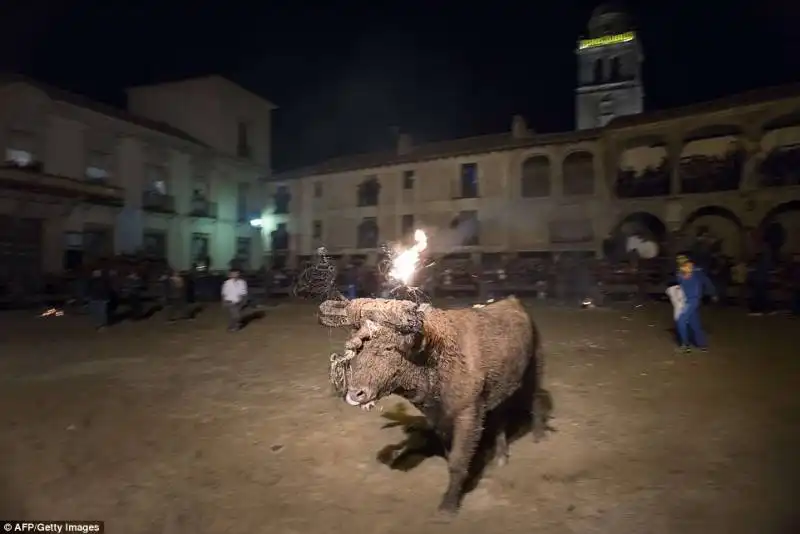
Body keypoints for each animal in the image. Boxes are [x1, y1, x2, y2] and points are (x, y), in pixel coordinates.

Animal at [318, 298, 552, 516]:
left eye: (389, 348)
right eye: (358, 349)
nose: (355, 394)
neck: (436, 356)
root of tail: (515, 303)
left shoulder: (469, 413)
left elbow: (458, 460)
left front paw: (448, 506)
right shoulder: (439, 417)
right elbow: (451, 454)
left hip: (535, 370)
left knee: (536, 401)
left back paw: (539, 437)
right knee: (501, 418)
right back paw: (501, 456)